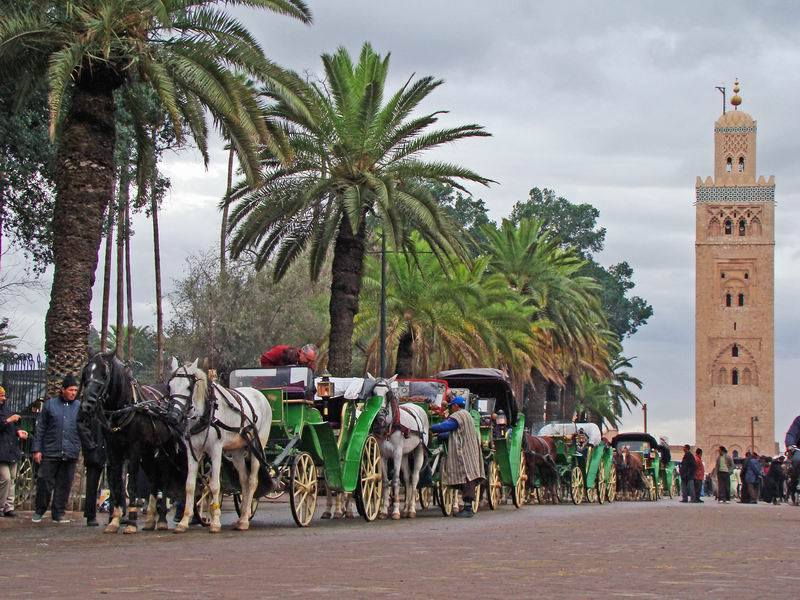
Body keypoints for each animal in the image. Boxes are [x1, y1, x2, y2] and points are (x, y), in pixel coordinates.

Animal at [80, 350, 189, 532]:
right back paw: (151, 518)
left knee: (165, 479)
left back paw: (162, 519)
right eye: (86, 372)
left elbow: (131, 484)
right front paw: (115, 520)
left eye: (104, 374)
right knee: (154, 481)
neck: (124, 407)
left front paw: (131, 522)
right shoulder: (113, 451)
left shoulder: (134, 450)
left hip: (165, 451)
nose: (87, 404)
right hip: (149, 454)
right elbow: (117, 483)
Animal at [168, 358, 272, 532]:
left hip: (258, 445)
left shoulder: (216, 450)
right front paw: (184, 521)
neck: (205, 414)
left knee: (252, 481)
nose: (174, 416)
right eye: (170, 386)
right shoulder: (193, 450)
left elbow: (215, 485)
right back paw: (241, 517)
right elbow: (190, 485)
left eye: (189, 386)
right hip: (237, 450)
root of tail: (258, 393)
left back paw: (245, 519)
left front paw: (215, 522)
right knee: (243, 480)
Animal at [376, 384, 432, 520]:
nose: (380, 415)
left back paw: (411, 509)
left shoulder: (397, 454)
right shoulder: (383, 455)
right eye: (373, 392)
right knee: (407, 478)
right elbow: (385, 481)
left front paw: (396, 511)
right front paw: (383, 511)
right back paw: (406, 509)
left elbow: (396, 480)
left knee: (415, 478)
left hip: (419, 450)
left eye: (387, 394)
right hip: (405, 455)